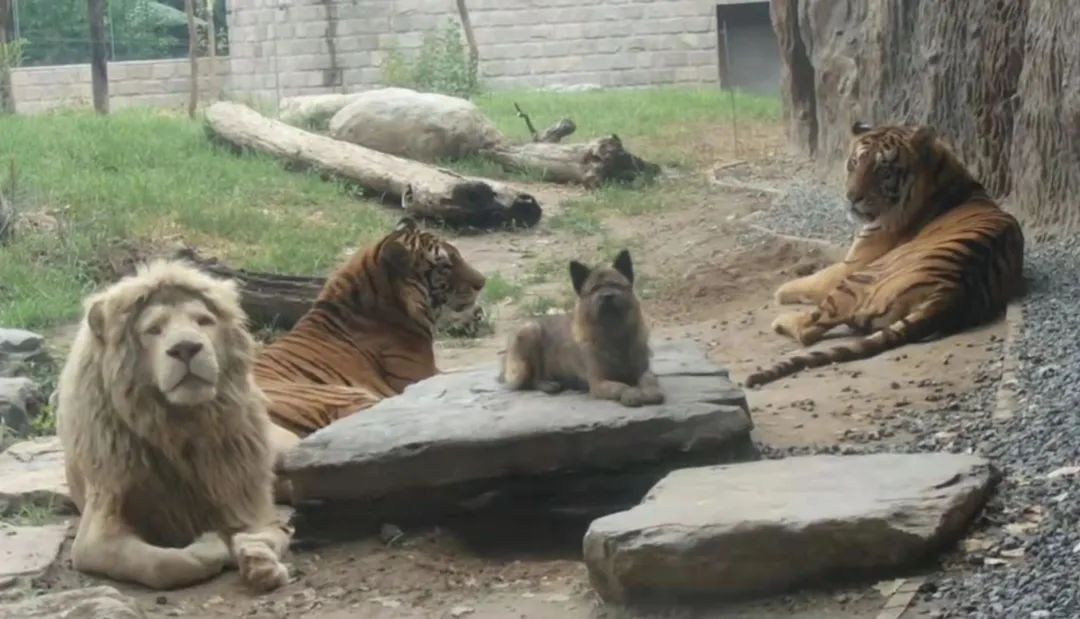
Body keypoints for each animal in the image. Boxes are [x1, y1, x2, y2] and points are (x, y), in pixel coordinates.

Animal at [56, 258, 293, 591]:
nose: (186, 348)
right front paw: (208, 546)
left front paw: (260, 560)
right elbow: (156, 563)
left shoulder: (246, 499)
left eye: (203, 321)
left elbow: (271, 534)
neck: (179, 425)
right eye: (153, 330)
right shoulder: (97, 528)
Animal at [498, 248, 665, 408]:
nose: (607, 296)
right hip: (530, 331)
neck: (613, 333)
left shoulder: (643, 371)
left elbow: (649, 380)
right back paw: (547, 384)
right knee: (530, 380)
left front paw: (651, 392)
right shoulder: (599, 382)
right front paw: (632, 393)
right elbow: (621, 386)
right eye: (594, 289)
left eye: (615, 285)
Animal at [747, 122, 1023, 386]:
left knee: (810, 328)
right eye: (855, 163)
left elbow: (816, 278)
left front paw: (781, 290)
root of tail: (950, 293)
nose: (852, 198)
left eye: (884, 171)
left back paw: (782, 321)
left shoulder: (853, 263)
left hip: (857, 281)